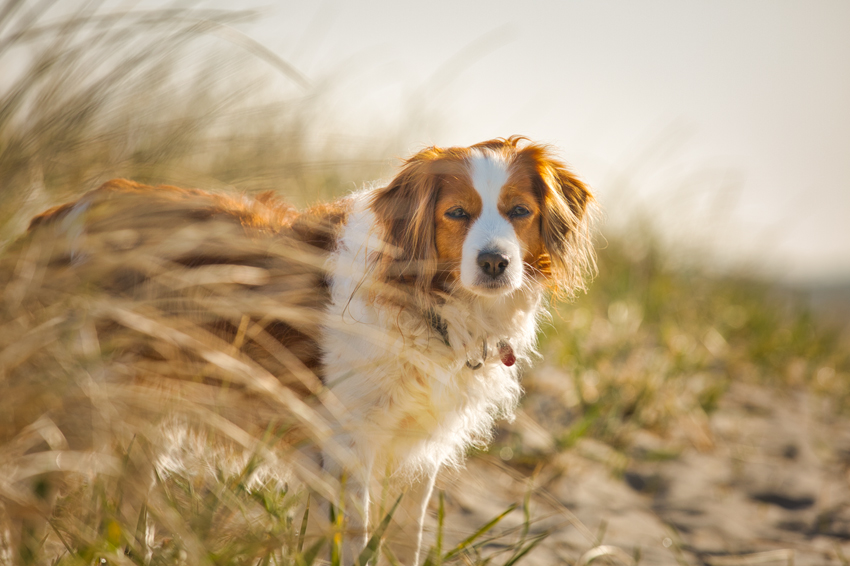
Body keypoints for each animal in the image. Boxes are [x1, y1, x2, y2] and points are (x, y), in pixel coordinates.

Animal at [0, 135, 592, 564]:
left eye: (518, 211)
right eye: (457, 214)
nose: (495, 263)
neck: (426, 302)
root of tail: (61, 213)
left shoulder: (417, 452)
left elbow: (405, 540)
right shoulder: (347, 446)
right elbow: (352, 542)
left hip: (140, 418)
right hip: (71, 412)